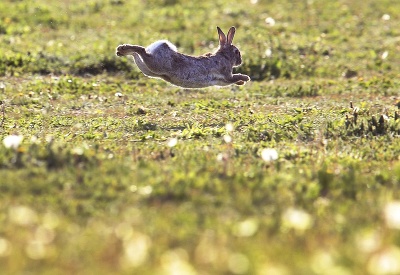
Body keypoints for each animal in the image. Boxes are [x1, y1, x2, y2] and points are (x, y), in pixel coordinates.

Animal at [114, 26, 250, 88]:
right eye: (236, 52)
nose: (240, 61)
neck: (224, 56)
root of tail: (160, 46)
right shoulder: (227, 75)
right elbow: (234, 77)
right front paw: (245, 78)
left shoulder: (223, 81)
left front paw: (242, 82)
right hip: (155, 64)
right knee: (142, 51)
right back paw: (123, 48)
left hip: (148, 69)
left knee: (137, 55)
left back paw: (122, 51)